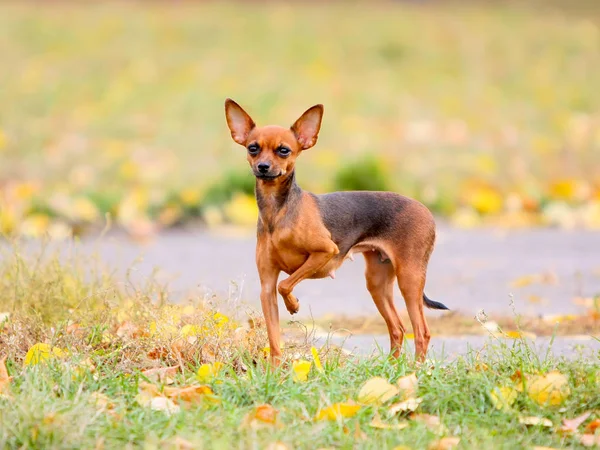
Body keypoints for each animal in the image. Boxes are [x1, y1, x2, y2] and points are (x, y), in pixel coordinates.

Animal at [223, 99, 448, 366]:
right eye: (253, 148)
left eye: (284, 151)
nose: (263, 167)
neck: (278, 212)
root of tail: (426, 211)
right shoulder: (266, 287)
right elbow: (274, 337)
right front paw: (275, 371)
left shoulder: (326, 251)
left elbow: (286, 285)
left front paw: (293, 305)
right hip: (377, 282)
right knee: (398, 328)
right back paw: (393, 368)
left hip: (409, 278)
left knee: (421, 331)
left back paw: (416, 370)